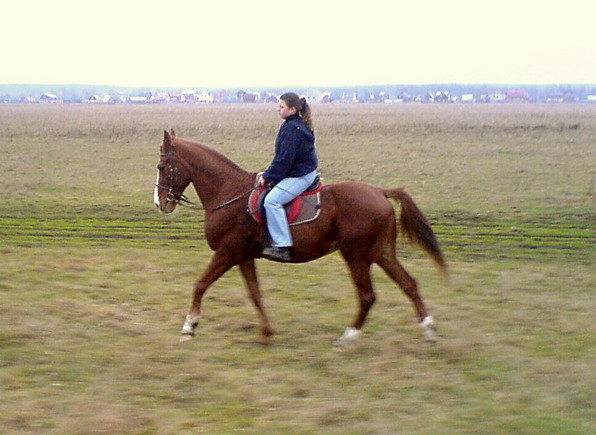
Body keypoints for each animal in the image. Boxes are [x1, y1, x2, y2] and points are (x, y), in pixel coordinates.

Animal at [155, 129, 448, 348]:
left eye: (161, 166)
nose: (160, 204)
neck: (229, 192)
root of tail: (380, 192)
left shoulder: (227, 253)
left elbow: (200, 285)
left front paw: (189, 327)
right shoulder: (243, 257)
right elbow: (255, 294)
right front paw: (266, 333)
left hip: (356, 255)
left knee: (367, 296)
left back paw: (347, 338)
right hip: (381, 253)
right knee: (409, 284)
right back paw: (429, 330)